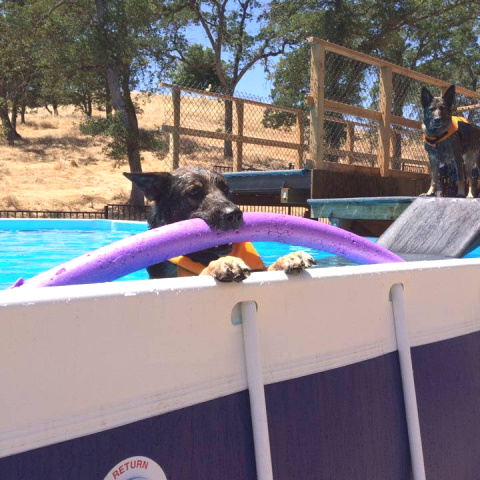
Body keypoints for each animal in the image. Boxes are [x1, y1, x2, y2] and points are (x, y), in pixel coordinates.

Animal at [125, 168, 316, 282]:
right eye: (194, 192)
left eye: (226, 190)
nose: (235, 214)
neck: (202, 256)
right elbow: (203, 272)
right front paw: (221, 263)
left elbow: (268, 269)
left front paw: (288, 258)